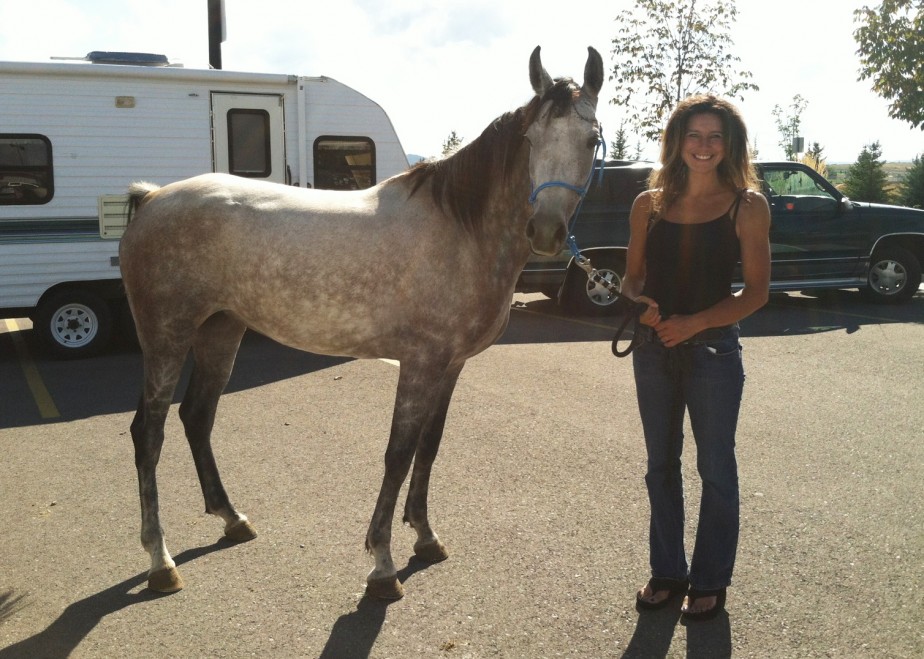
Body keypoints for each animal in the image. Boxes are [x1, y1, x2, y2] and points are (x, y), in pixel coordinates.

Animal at [119, 45, 604, 600]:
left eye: (591, 140)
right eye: (530, 140)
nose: (545, 231)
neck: (461, 228)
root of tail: (151, 200)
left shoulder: (451, 365)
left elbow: (428, 447)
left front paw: (426, 536)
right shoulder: (420, 363)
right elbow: (398, 453)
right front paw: (383, 564)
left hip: (221, 331)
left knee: (197, 418)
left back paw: (232, 518)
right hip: (166, 338)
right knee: (149, 434)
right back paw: (160, 560)